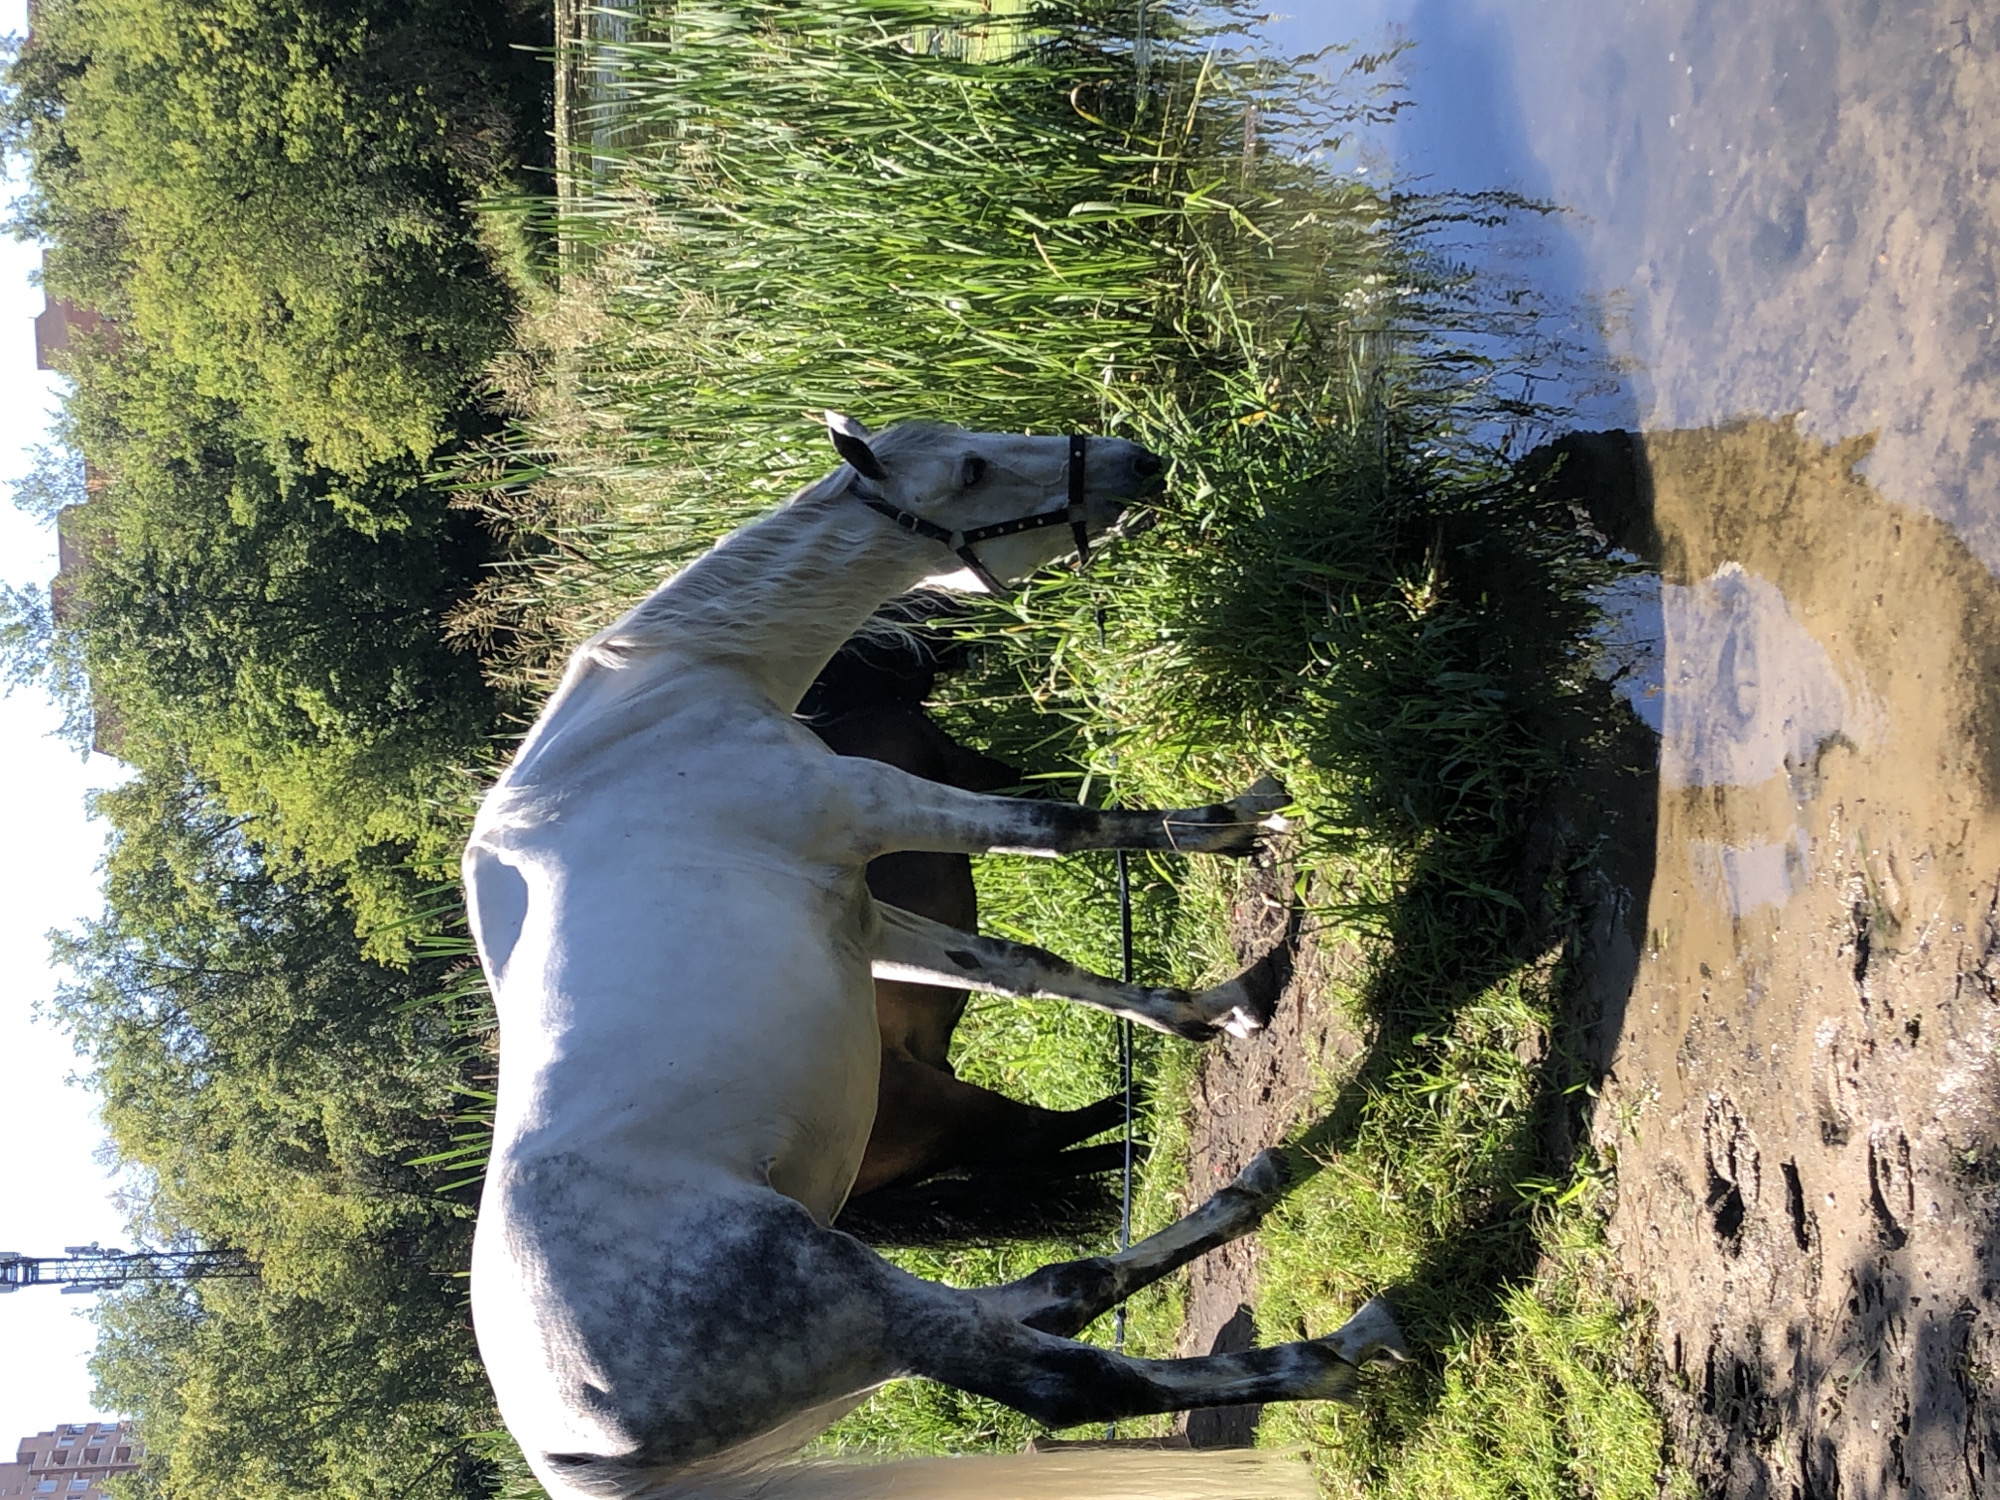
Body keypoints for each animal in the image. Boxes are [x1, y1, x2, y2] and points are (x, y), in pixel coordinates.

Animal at [464, 416, 1407, 1500]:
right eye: (971, 468)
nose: (1136, 460)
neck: (665, 699)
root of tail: (570, 1455)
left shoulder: (866, 914)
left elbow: (1016, 961)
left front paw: (1221, 1004)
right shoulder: (882, 801)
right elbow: (1070, 826)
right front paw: (1246, 819)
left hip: (855, 1353)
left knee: (1060, 1288)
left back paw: (1244, 1195)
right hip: (854, 1299)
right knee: (1067, 1380)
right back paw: (1339, 1350)